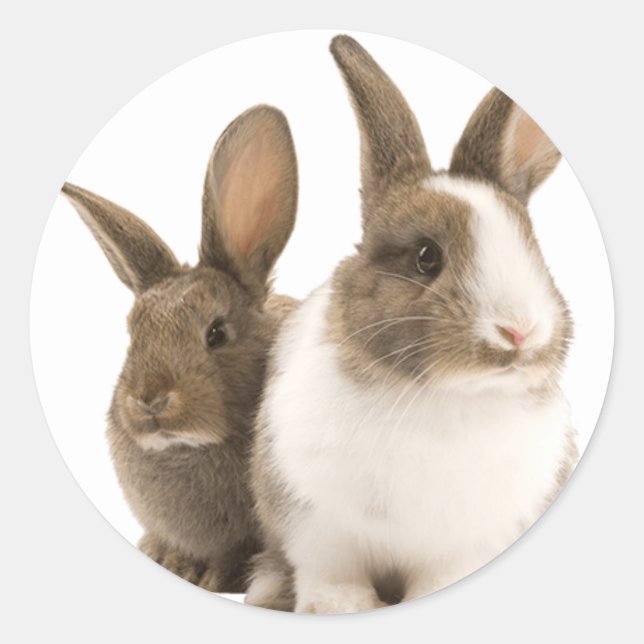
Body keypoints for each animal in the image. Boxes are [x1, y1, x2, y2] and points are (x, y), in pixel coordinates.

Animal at [245, 36, 578, 614]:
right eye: (427, 257)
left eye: (533, 249)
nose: (519, 332)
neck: (446, 397)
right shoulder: (318, 526)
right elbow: (333, 576)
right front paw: (342, 608)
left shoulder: (464, 542)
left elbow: (441, 579)